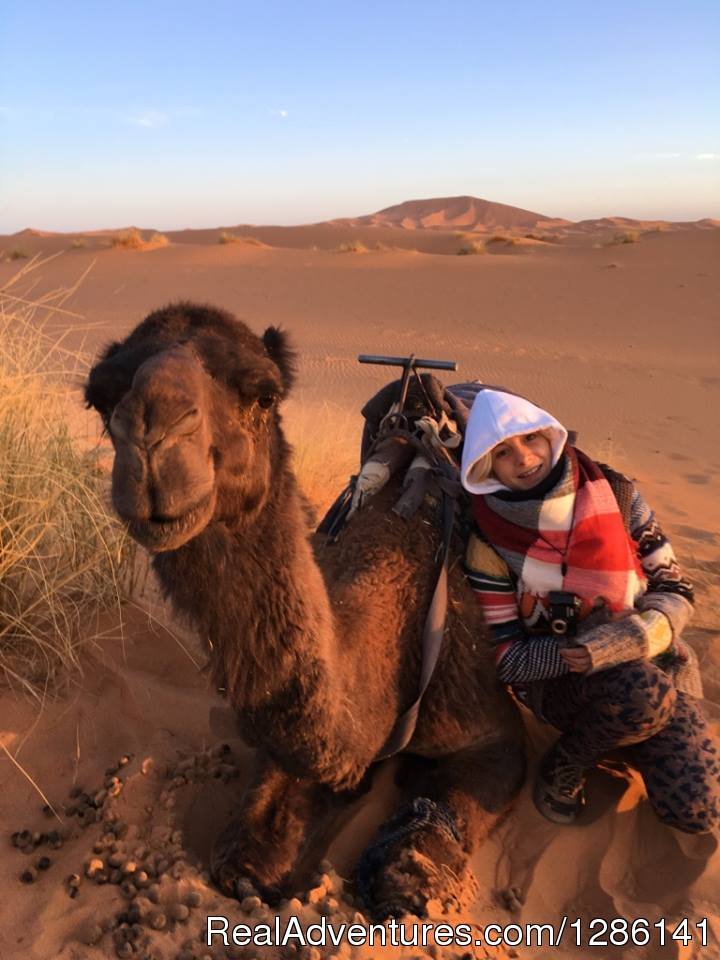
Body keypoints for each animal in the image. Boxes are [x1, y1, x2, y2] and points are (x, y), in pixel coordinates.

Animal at [84, 304, 524, 920]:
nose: (153, 437)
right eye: (100, 399)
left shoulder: (488, 717)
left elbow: (414, 864)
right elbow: (242, 855)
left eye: (264, 395)